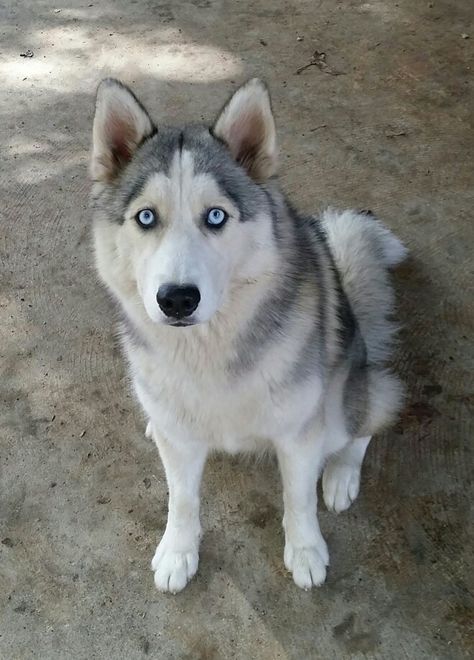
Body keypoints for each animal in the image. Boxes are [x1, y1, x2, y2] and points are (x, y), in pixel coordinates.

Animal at [90, 77, 406, 592]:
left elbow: (298, 499)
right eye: (145, 217)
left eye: (216, 217)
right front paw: (178, 551)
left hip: (346, 399)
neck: (208, 350)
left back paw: (341, 473)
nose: (177, 299)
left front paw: (306, 549)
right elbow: (182, 498)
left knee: (367, 420)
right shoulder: (181, 443)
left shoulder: (299, 435)